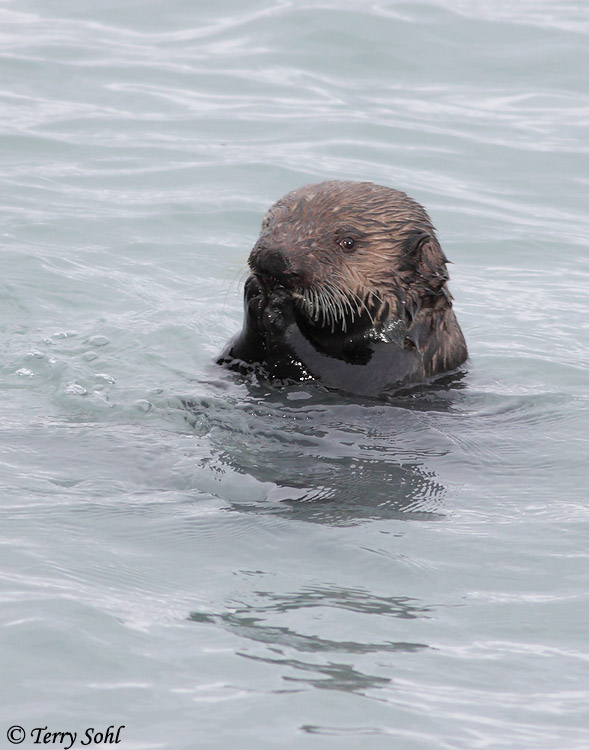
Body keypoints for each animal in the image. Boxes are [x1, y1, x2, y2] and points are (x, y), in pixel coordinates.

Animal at [217, 181, 467, 397]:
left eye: (348, 242)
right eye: (269, 223)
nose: (272, 260)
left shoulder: (402, 361)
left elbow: (344, 376)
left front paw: (280, 307)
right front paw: (255, 292)